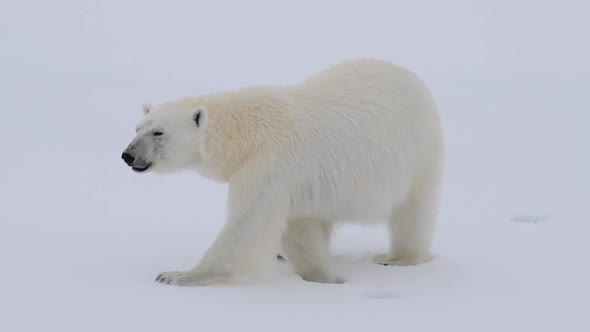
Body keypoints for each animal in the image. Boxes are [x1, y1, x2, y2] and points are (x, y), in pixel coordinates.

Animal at [122, 58, 444, 286]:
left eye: (159, 132)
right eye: (138, 128)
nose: (128, 155)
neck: (245, 133)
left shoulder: (271, 164)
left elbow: (248, 225)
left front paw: (178, 275)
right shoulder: (290, 181)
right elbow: (300, 227)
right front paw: (320, 275)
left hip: (418, 152)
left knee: (412, 212)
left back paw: (399, 258)